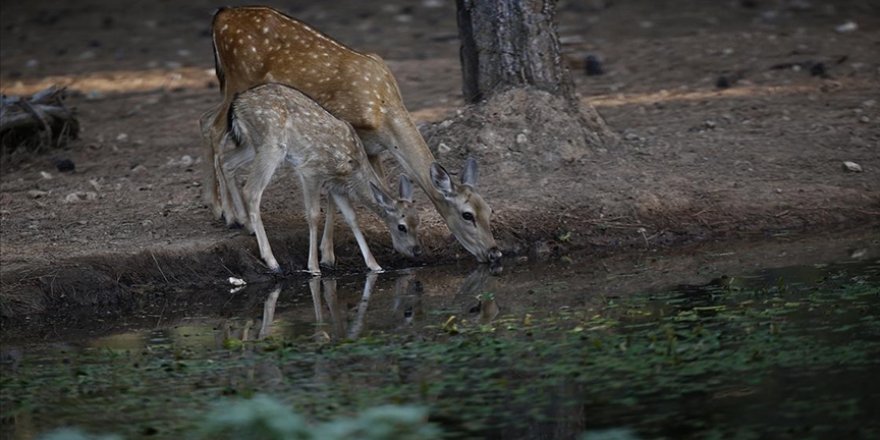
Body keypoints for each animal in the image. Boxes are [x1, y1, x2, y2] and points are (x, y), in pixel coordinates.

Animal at [223, 83, 422, 276]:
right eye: (402, 227)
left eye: (417, 220)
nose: (416, 250)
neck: (351, 168)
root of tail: (236, 104)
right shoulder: (311, 171)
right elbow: (314, 215)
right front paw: (314, 266)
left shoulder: (336, 186)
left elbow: (352, 217)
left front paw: (374, 265)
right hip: (272, 144)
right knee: (251, 190)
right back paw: (272, 261)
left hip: (253, 144)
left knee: (227, 161)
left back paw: (245, 224)